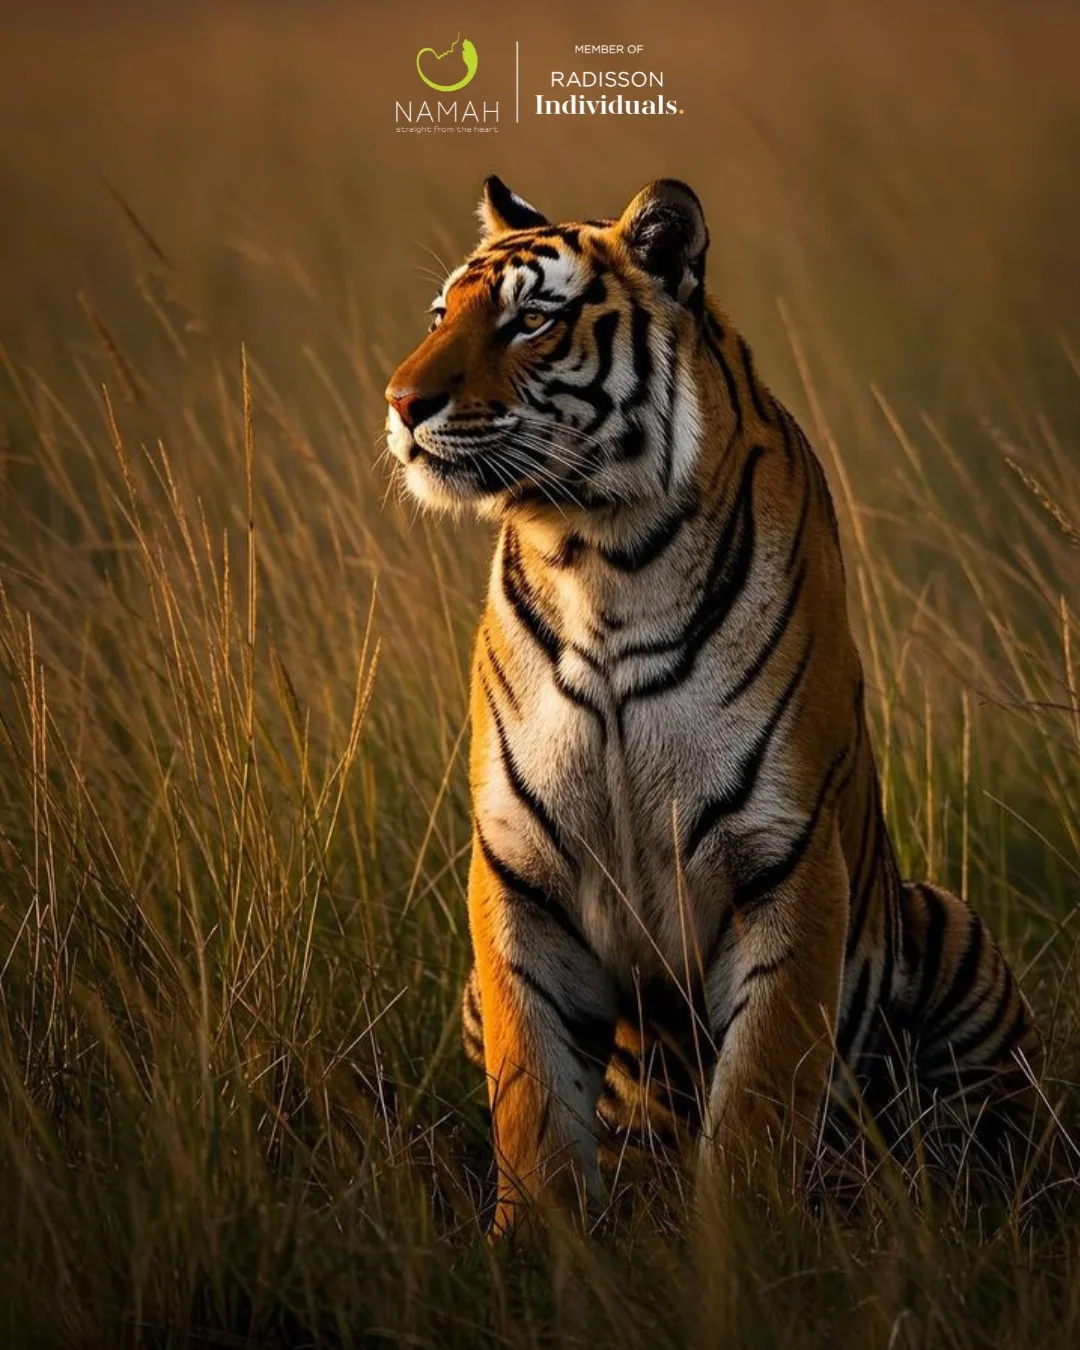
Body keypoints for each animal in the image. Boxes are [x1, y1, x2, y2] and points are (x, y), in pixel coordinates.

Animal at [384, 175, 1041, 1236]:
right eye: (441, 316)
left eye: (532, 321)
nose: (403, 403)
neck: (597, 558)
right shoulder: (517, 868)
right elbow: (532, 1096)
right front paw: (535, 1245)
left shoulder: (786, 858)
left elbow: (761, 1095)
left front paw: (750, 1246)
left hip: (949, 931)